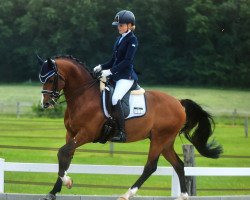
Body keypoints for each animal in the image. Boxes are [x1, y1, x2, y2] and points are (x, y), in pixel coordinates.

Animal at [38, 55, 223, 200]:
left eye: (51, 79)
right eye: (42, 79)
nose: (46, 104)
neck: (84, 96)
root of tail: (178, 103)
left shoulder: (86, 134)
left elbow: (62, 152)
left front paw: (67, 182)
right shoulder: (71, 134)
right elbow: (66, 157)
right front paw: (53, 191)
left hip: (159, 139)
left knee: (151, 167)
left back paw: (127, 194)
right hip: (166, 141)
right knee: (178, 165)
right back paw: (183, 196)